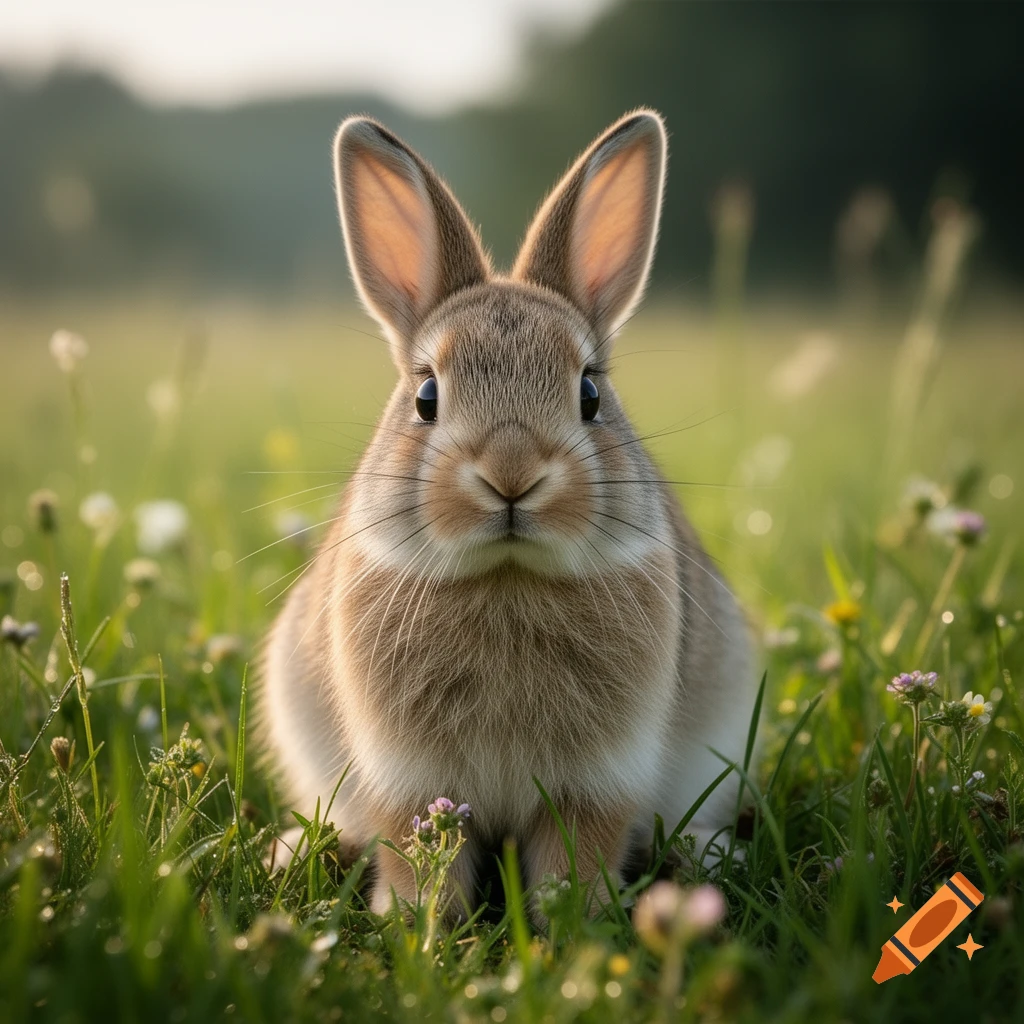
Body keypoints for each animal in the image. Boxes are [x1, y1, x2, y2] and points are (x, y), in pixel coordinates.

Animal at [257, 109, 757, 919]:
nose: (512, 475)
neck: (506, 575)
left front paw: (572, 917)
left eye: (590, 393)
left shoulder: (598, 781)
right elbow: (417, 854)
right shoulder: (407, 780)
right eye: (426, 396)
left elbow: (578, 852)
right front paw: (420, 922)